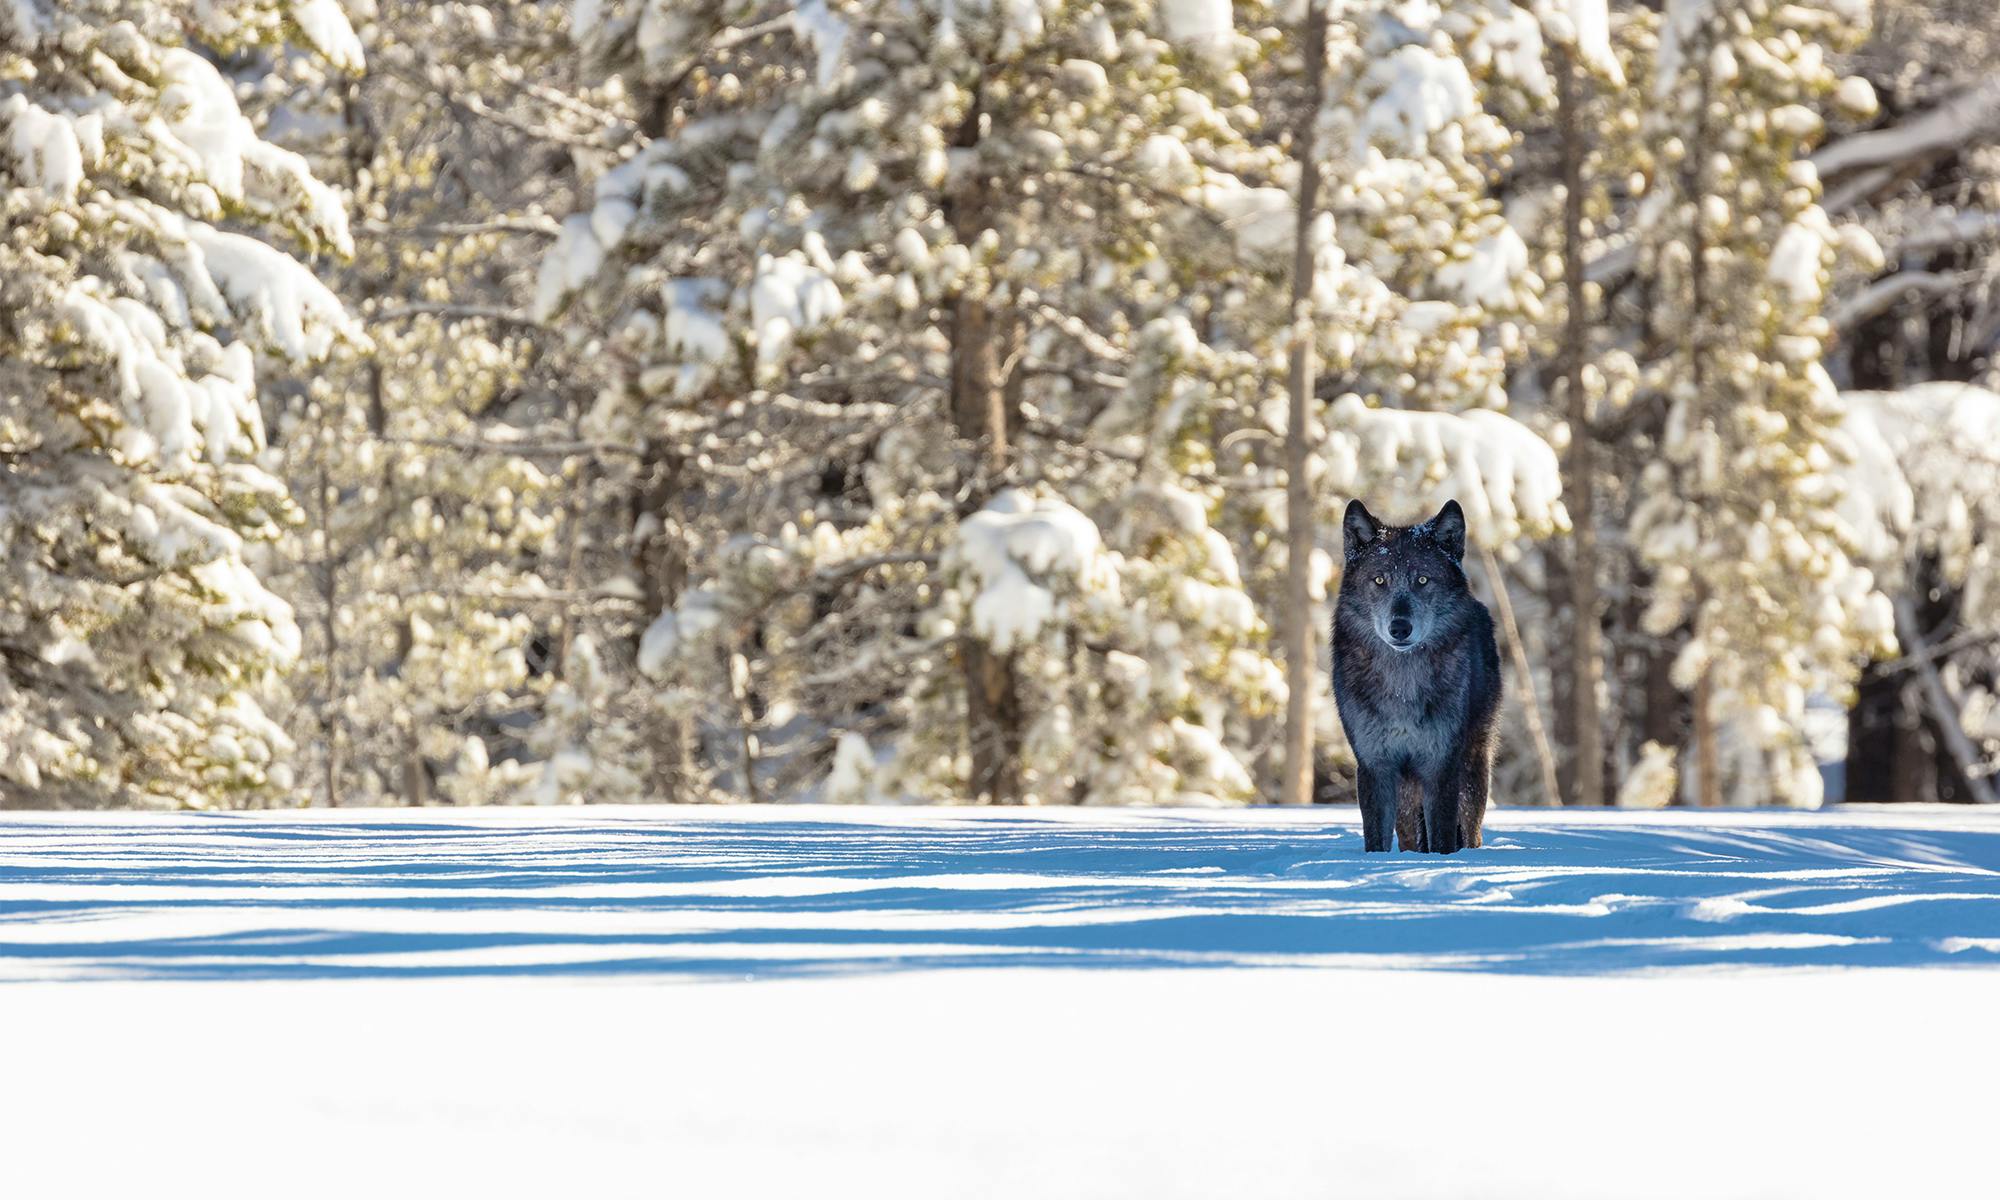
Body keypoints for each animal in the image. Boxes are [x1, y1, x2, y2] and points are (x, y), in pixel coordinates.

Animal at [1328, 496, 1504, 852]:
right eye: (1379, 580)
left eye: (1422, 580)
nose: (1400, 627)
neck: (1402, 684)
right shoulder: (1375, 766)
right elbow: (1376, 840)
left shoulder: (1441, 765)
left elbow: (1442, 838)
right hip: (1408, 793)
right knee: (1410, 836)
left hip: (1473, 768)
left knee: (1471, 830)